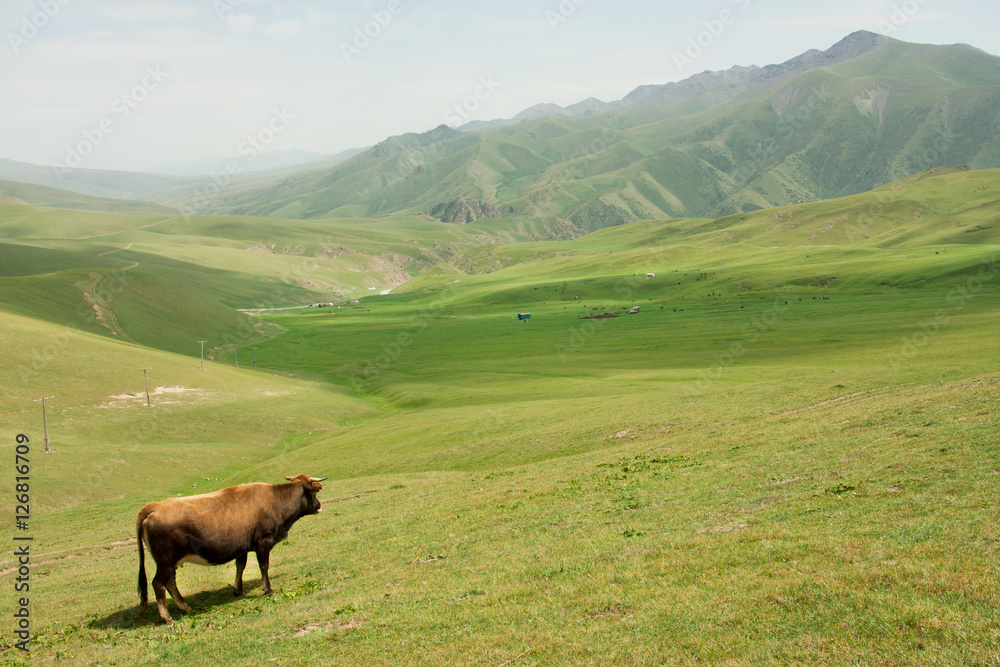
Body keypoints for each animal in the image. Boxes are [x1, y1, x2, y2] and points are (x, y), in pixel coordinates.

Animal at [136, 474, 325, 624]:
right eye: (314, 493)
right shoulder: (263, 542)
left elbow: (240, 566)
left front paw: (238, 590)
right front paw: (268, 589)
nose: (319, 506)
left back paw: (185, 607)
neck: (276, 500)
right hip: (165, 561)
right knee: (158, 584)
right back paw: (166, 617)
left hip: (170, 563)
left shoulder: (242, 547)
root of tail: (155, 506)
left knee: (170, 583)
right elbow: (264, 566)